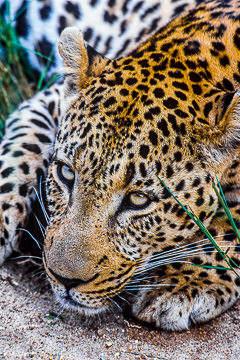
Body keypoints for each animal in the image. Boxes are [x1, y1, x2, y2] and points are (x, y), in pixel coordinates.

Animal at [0, 0, 240, 330]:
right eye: (66, 173)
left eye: (138, 200)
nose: (64, 280)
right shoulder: (46, 100)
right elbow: (15, 156)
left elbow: (232, 223)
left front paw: (185, 279)